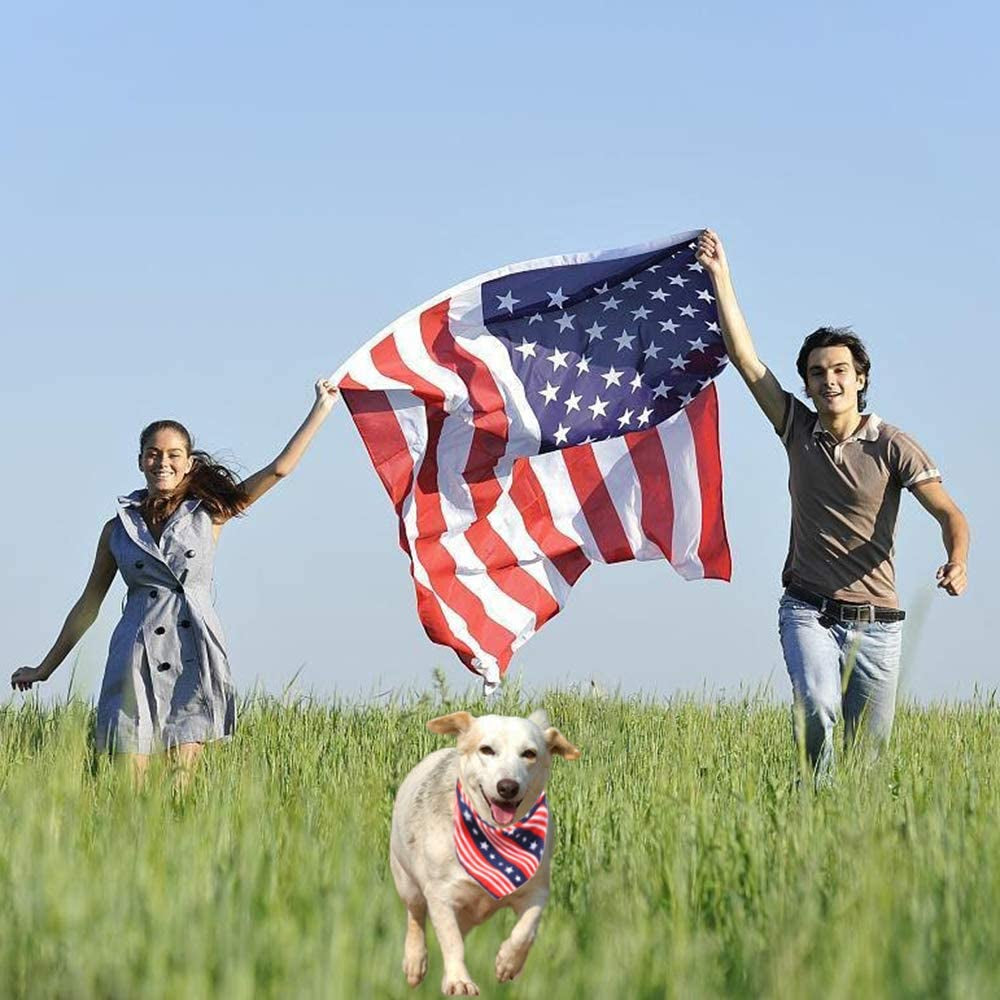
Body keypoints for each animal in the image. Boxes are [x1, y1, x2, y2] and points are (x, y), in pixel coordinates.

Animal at [388, 708, 580, 996]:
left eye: (529, 753)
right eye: (487, 750)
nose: (508, 786)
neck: (496, 838)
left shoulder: (536, 891)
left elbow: (525, 931)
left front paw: (508, 964)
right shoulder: (440, 893)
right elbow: (451, 941)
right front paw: (459, 981)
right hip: (407, 883)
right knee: (416, 919)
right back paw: (414, 963)